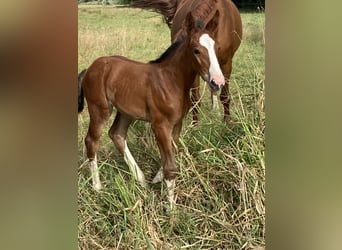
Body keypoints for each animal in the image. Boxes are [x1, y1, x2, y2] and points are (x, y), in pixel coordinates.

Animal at [79, 13, 226, 209]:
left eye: (217, 48)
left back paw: (140, 179)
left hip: (126, 112)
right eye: (196, 50)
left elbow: (171, 152)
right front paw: (171, 209)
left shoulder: (177, 123)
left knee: (117, 134)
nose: (218, 82)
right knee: (92, 140)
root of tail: (89, 68)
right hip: (100, 109)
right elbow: (171, 166)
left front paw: (157, 178)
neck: (172, 80)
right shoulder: (160, 125)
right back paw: (97, 186)